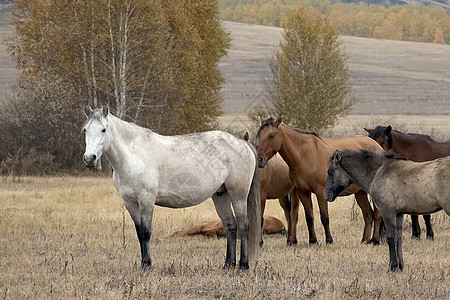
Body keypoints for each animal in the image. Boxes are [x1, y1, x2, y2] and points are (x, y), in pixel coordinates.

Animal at [82, 105, 262, 270]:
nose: (89, 158)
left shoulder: (146, 199)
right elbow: (140, 233)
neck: (133, 156)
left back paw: (243, 265)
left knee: (243, 226)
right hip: (220, 195)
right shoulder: (130, 203)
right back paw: (228, 264)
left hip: (238, 195)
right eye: (85, 130)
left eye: (104, 129)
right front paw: (143, 264)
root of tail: (242, 143)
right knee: (230, 227)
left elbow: (146, 232)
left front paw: (147, 265)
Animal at [256, 116, 384, 245]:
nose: (259, 160)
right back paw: (364, 241)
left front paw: (329, 240)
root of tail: (377, 146)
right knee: (368, 214)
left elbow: (324, 217)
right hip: (360, 192)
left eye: (271, 135)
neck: (304, 155)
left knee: (377, 214)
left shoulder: (320, 192)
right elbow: (309, 217)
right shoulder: (303, 192)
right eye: (259, 135)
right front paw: (313, 241)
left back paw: (375, 240)